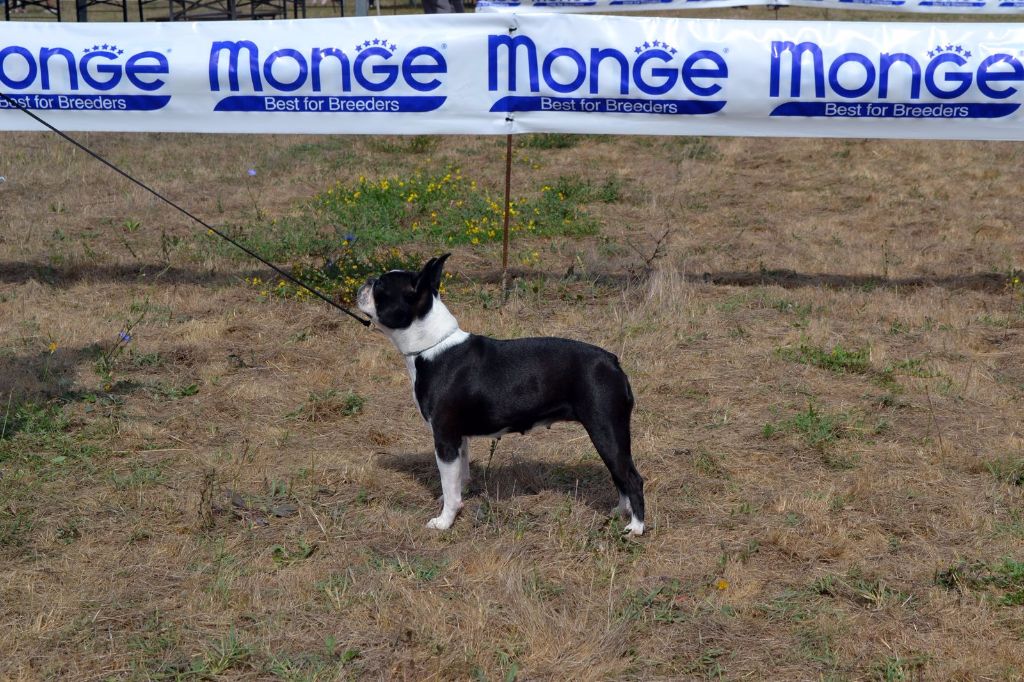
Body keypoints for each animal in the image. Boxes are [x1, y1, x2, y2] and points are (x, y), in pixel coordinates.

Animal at [360, 251, 643, 532]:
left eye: (381, 286)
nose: (367, 280)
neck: (430, 346)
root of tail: (612, 361)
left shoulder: (444, 437)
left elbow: (449, 484)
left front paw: (444, 520)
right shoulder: (458, 437)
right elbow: (460, 475)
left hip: (605, 429)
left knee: (632, 477)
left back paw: (636, 527)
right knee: (619, 475)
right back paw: (621, 511)